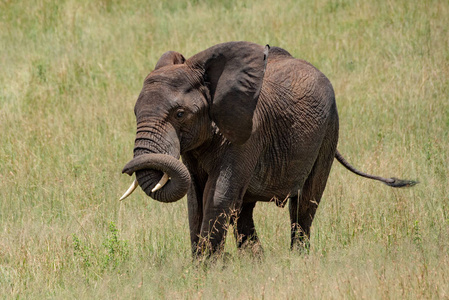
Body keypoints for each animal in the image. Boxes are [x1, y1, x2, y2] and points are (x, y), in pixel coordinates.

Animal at [120, 41, 416, 258]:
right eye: (134, 112)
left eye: (180, 114)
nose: (125, 169)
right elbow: (195, 196)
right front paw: (202, 266)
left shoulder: (248, 134)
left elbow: (217, 194)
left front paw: (207, 268)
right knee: (244, 209)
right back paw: (257, 261)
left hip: (329, 129)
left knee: (306, 201)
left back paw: (297, 259)